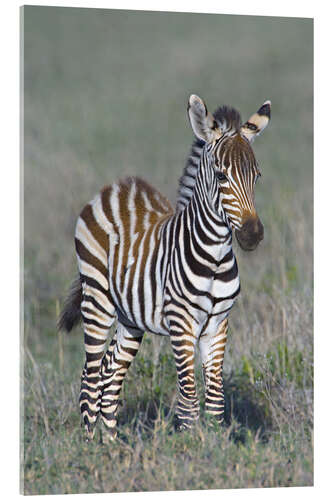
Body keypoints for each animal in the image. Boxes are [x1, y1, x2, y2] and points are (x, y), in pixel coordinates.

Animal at [57, 94, 270, 442]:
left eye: (257, 176)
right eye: (221, 176)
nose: (252, 235)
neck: (214, 255)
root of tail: (117, 187)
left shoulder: (219, 324)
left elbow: (215, 400)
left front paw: (214, 447)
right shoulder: (181, 323)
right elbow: (189, 399)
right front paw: (191, 446)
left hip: (130, 318)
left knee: (110, 376)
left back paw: (111, 446)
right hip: (97, 300)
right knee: (89, 377)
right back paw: (89, 446)